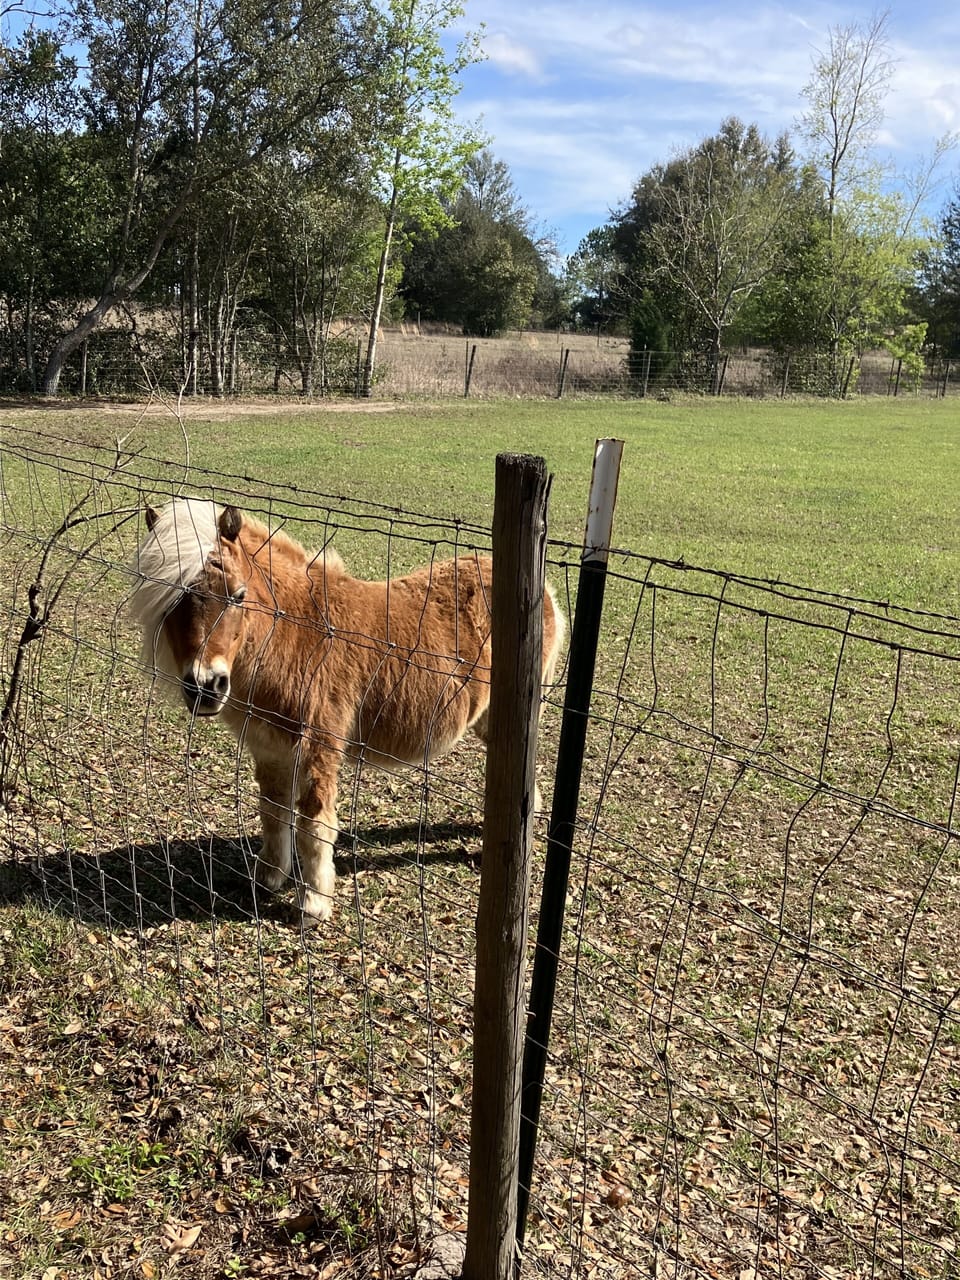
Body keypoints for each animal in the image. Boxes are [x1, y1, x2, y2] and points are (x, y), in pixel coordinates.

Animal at [129, 498, 565, 924]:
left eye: (237, 595)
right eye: (169, 600)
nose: (206, 686)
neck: (297, 634)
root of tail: (544, 593)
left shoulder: (318, 749)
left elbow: (312, 826)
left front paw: (313, 904)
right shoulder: (270, 750)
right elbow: (273, 813)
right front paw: (268, 878)